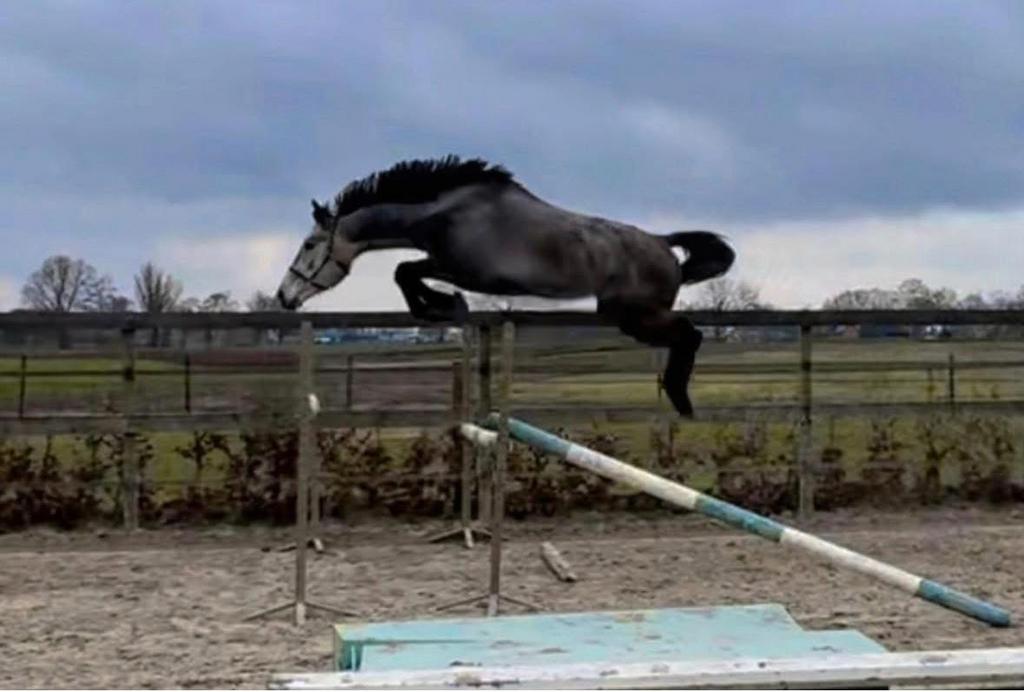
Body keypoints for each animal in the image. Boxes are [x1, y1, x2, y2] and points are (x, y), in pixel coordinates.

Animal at [276, 156, 735, 417]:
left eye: (309, 245)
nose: (284, 296)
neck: (445, 213)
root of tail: (662, 243)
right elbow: (406, 271)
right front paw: (440, 306)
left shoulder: (464, 270)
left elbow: (405, 271)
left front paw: (443, 306)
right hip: (626, 317)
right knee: (686, 335)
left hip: (637, 315)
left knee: (690, 334)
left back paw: (680, 398)